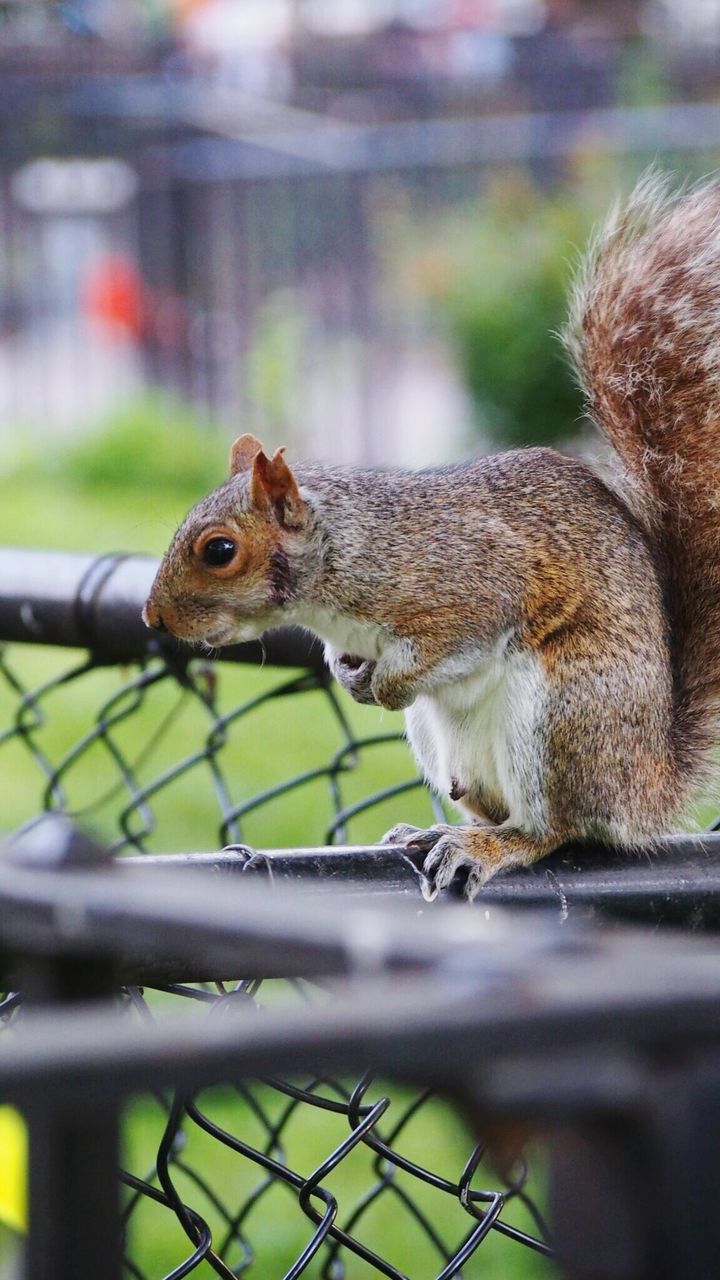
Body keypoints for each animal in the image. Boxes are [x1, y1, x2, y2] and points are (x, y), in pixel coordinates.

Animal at [142, 172, 717, 901]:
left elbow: (455, 636)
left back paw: (495, 845)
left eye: (219, 551)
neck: (345, 555)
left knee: (557, 827)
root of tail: (647, 787)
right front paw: (346, 672)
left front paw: (385, 684)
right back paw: (431, 830)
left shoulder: (469, 584)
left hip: (564, 714)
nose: (153, 617)